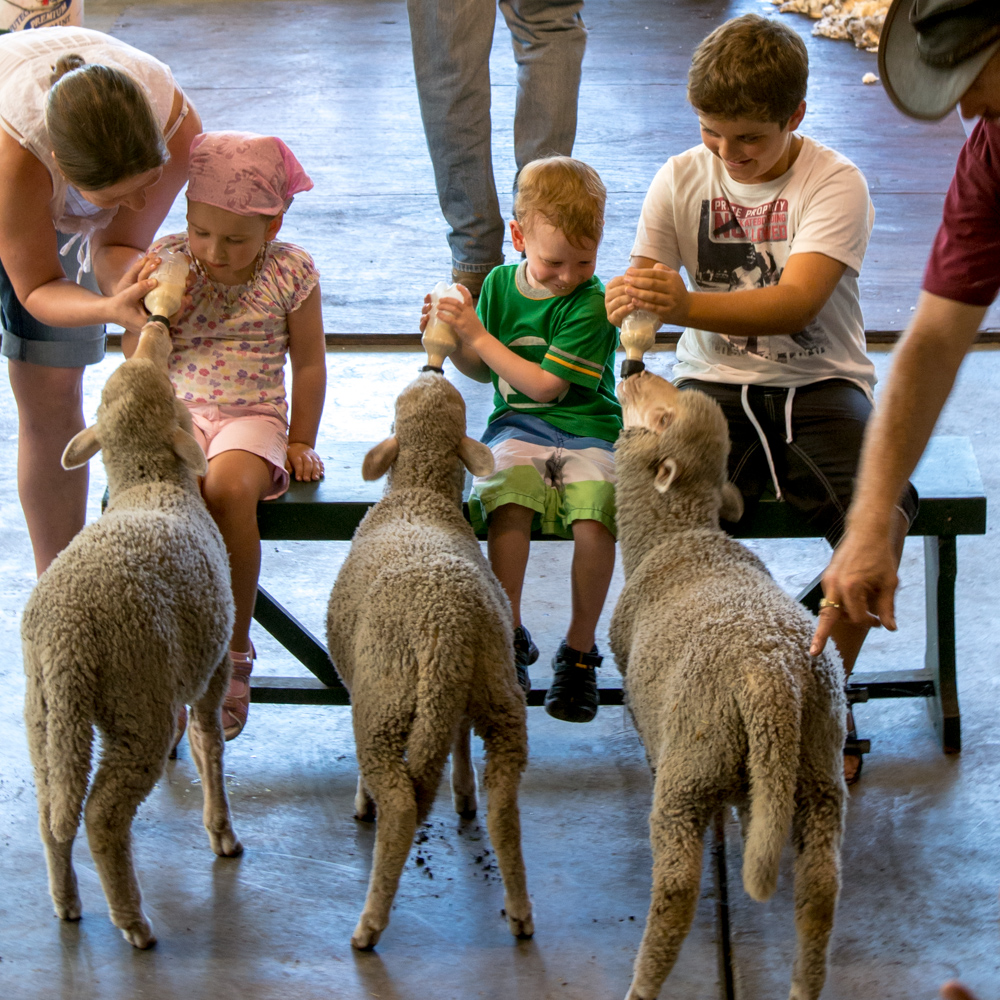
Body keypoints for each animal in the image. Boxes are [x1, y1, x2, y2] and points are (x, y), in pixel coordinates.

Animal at [21, 324, 240, 948]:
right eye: (169, 387)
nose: (151, 331)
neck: (151, 482)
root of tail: (65, 638)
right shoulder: (213, 661)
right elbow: (208, 740)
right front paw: (221, 832)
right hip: (136, 702)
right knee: (101, 815)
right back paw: (133, 921)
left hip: (45, 712)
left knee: (52, 806)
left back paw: (66, 901)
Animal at [326, 372, 532, 948]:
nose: (432, 371)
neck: (419, 492)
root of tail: (447, 628)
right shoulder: (457, 698)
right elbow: (457, 736)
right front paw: (460, 792)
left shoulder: (358, 679)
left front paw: (361, 800)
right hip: (496, 691)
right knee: (503, 800)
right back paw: (520, 910)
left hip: (385, 697)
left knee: (399, 804)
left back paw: (369, 923)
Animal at [608, 374, 844, 1000]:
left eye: (663, 417)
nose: (632, 374)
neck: (676, 533)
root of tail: (773, 677)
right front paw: (748, 828)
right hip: (816, 769)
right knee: (821, 887)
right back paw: (804, 983)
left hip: (690, 772)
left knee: (676, 891)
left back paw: (642, 983)